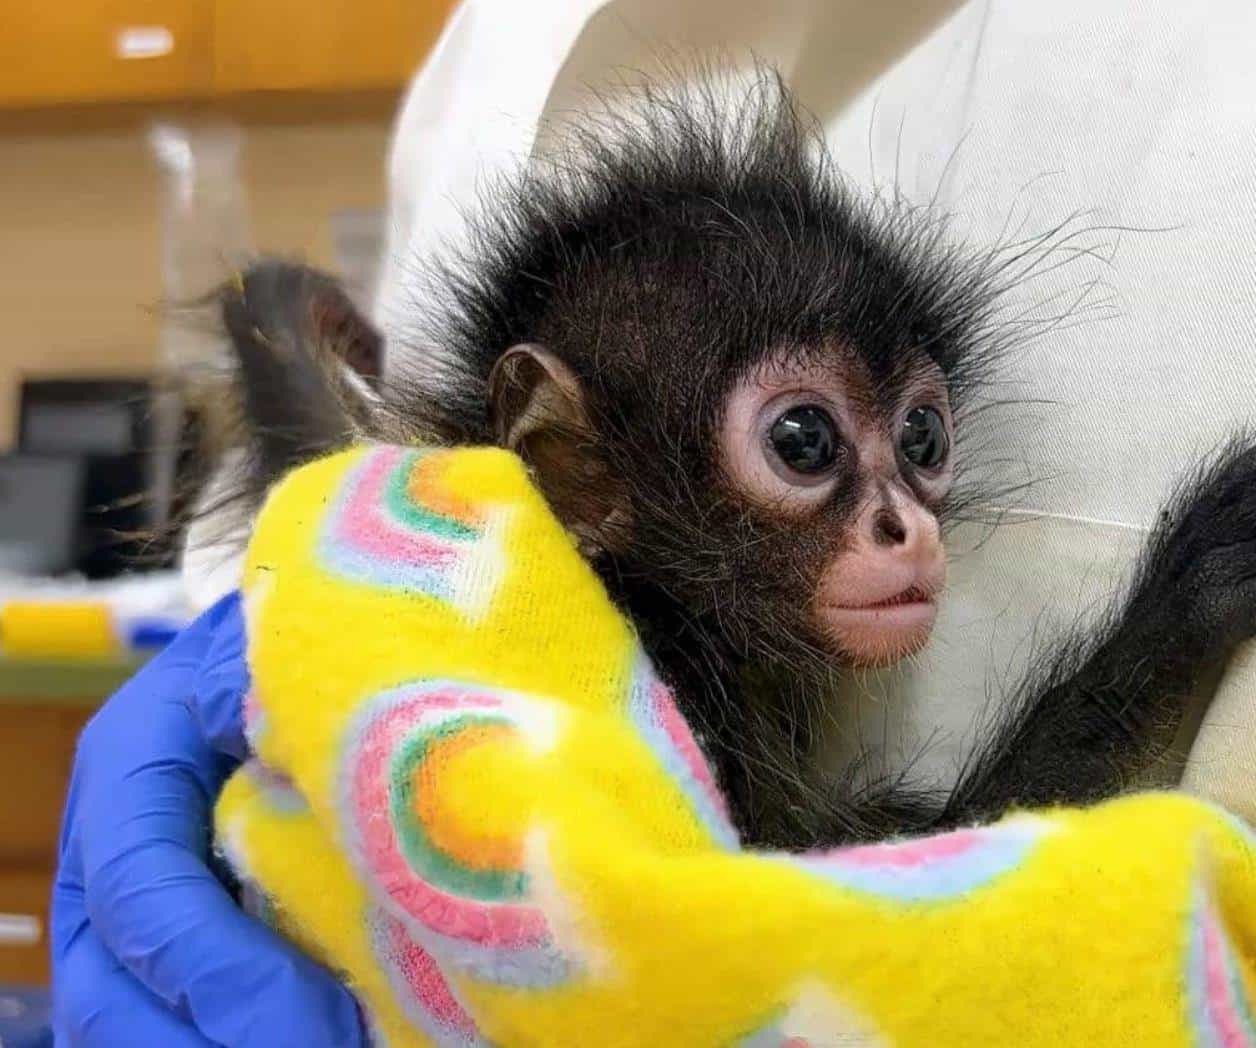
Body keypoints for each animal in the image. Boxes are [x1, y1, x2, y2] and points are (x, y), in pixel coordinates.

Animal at [204, 67, 1256, 850]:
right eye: (803, 441)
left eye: (923, 438)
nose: (907, 529)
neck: (654, 593)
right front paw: (1195, 586)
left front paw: (286, 316)